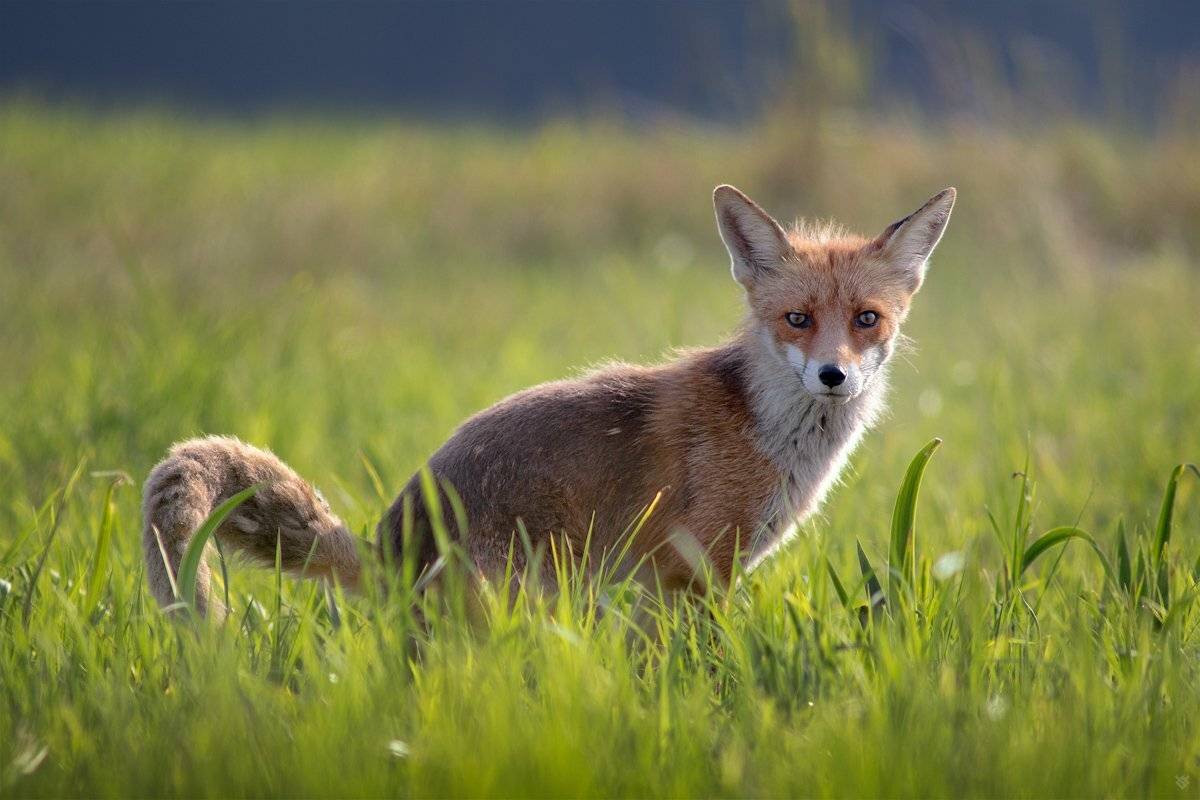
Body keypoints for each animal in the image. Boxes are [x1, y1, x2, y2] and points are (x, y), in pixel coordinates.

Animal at [142, 184, 955, 617]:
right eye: (797, 319)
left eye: (866, 320)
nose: (834, 376)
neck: (770, 436)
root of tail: (390, 547)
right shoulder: (691, 568)